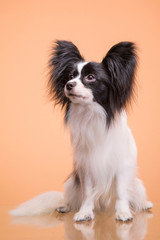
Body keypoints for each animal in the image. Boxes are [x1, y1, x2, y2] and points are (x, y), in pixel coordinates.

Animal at [10, 40, 152, 221]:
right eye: (70, 76)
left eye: (90, 77)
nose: (68, 85)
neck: (91, 113)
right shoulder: (86, 167)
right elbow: (87, 193)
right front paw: (84, 212)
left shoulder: (121, 166)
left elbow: (121, 192)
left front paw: (123, 212)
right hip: (71, 183)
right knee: (70, 199)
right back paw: (64, 206)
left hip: (137, 184)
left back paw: (145, 204)